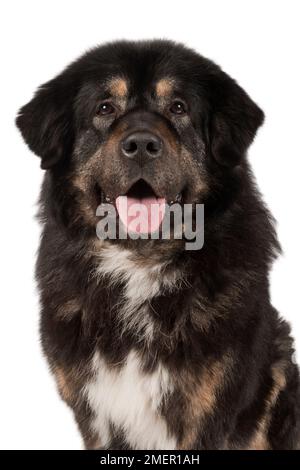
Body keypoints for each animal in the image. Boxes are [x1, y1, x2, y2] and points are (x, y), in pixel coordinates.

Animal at [16, 39, 300, 448]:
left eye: (178, 107)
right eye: (105, 107)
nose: (141, 144)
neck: (139, 264)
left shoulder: (209, 412)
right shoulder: (93, 415)